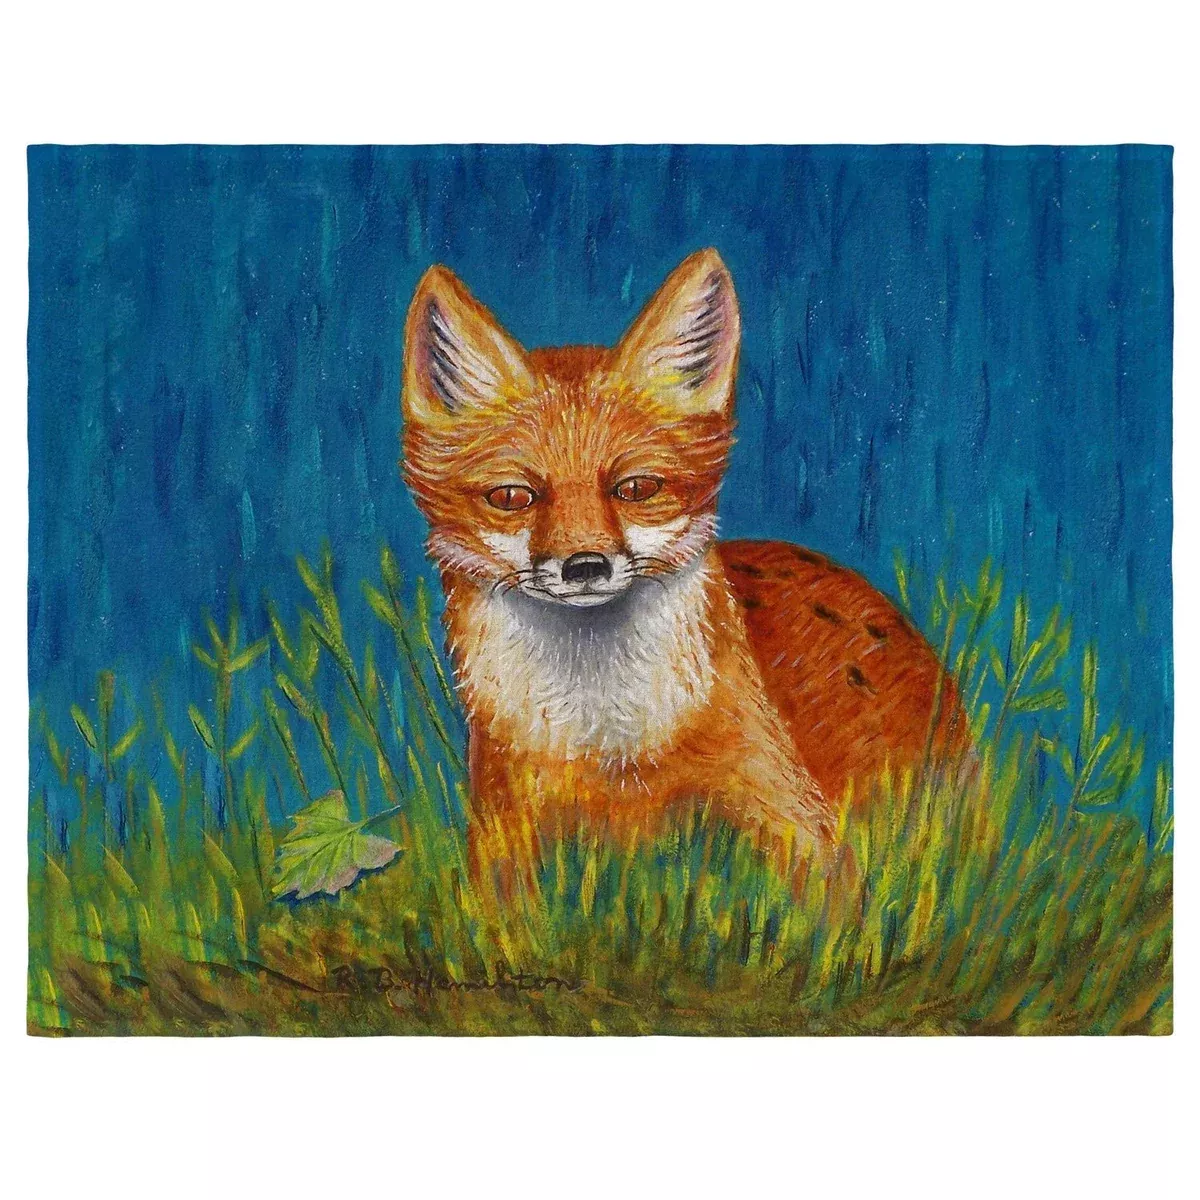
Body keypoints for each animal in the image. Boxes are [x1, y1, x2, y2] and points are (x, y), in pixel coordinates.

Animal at [400, 248, 968, 862]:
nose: (585, 566)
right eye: (512, 497)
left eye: (636, 488)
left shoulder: (797, 821)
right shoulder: (503, 827)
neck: (608, 745)